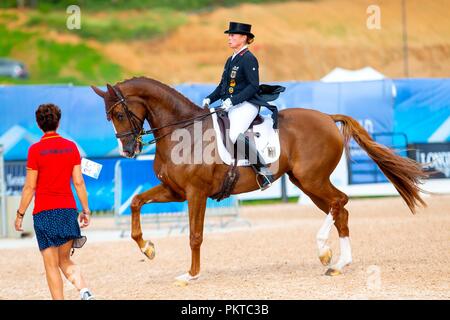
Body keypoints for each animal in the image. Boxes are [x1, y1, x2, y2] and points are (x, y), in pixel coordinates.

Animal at [91, 77, 428, 284]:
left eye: (119, 114)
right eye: (108, 118)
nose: (128, 150)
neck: (182, 131)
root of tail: (326, 117)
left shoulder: (195, 192)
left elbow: (195, 235)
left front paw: (192, 274)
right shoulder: (175, 191)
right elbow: (136, 202)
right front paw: (147, 247)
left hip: (312, 179)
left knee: (339, 202)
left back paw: (324, 251)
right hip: (305, 182)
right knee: (340, 209)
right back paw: (338, 263)